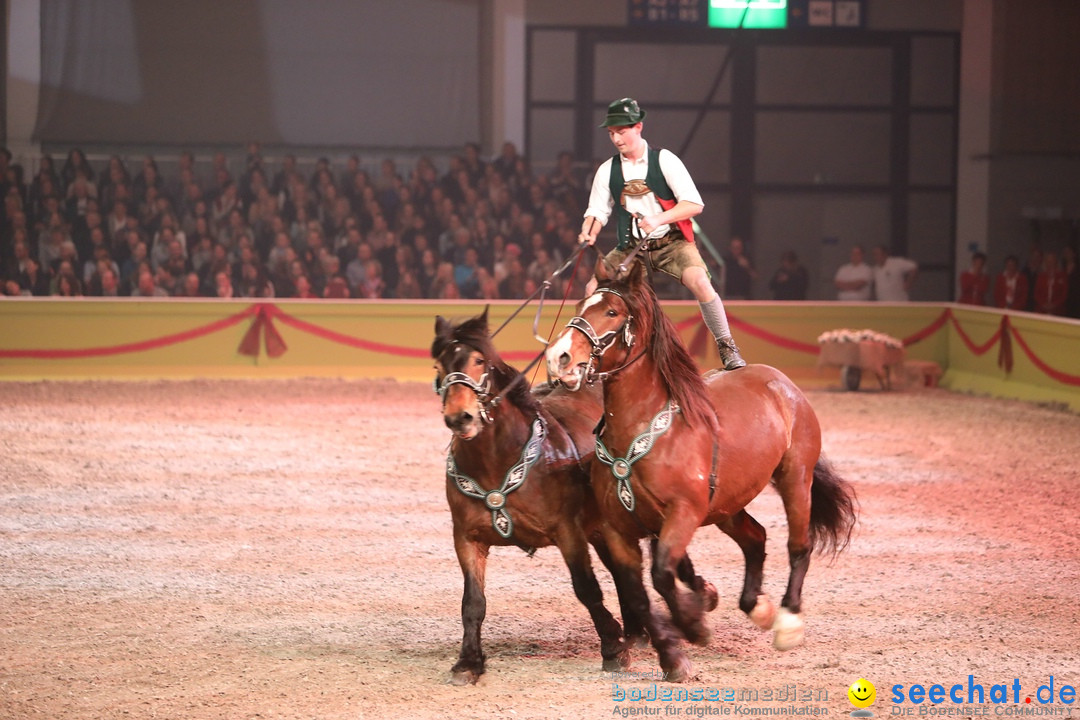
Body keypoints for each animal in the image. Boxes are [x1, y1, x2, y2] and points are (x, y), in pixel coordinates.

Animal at [429, 310, 717, 686]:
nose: (459, 417)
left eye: (479, 361)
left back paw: (694, 601)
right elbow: (473, 602)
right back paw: (637, 630)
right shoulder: (466, 538)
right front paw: (468, 662)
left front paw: (612, 647)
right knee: (623, 570)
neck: (499, 460)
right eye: (438, 366)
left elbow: (586, 588)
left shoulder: (568, 532)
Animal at [544, 264, 855, 682]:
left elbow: (661, 575)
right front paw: (671, 656)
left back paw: (787, 621)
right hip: (727, 505)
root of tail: (781, 383)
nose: (559, 357)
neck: (643, 431)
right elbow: (637, 594)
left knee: (798, 546)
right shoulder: (617, 529)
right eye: (580, 305)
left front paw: (693, 626)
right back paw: (757, 607)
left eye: (611, 311)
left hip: (795, 479)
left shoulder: (683, 513)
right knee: (755, 538)